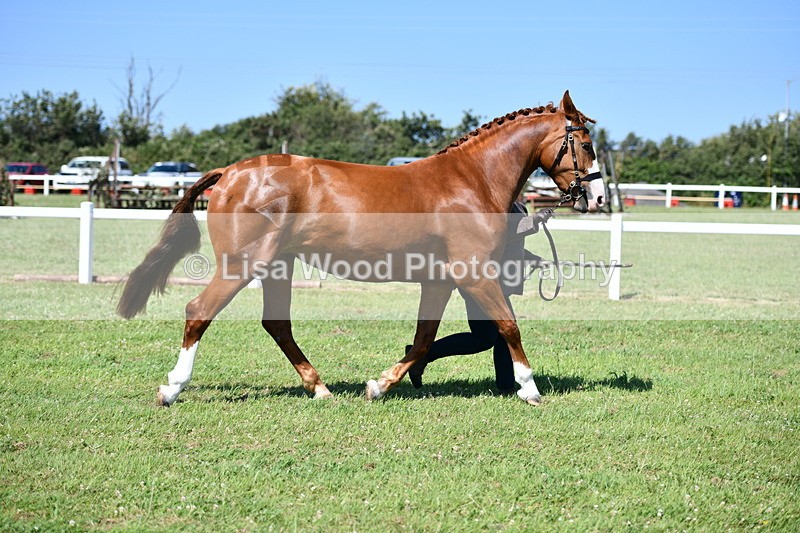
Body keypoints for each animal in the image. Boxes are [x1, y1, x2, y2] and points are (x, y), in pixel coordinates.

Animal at [117, 91, 604, 407]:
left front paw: (381, 385)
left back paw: (320, 388)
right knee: (199, 311)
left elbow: (424, 340)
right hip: (242, 265)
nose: (598, 198)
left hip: (278, 267)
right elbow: (508, 326)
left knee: (277, 325)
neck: (470, 180)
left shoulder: (440, 281)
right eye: (585, 143)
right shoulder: (474, 274)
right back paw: (171, 389)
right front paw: (530, 389)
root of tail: (231, 172)